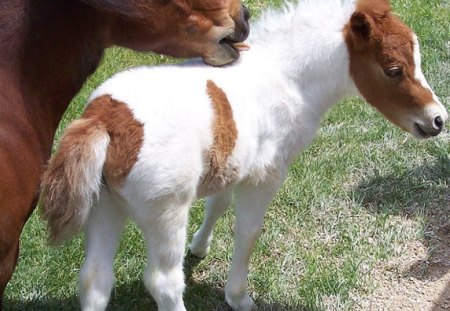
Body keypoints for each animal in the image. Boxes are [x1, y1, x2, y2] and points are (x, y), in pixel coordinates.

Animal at [39, 0, 446, 310]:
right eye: (394, 69)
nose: (438, 119)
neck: (287, 77)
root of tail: (104, 120)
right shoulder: (266, 176)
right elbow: (248, 232)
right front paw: (238, 297)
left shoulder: (234, 164)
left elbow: (218, 204)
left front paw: (199, 248)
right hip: (165, 210)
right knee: (162, 281)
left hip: (104, 206)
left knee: (94, 279)